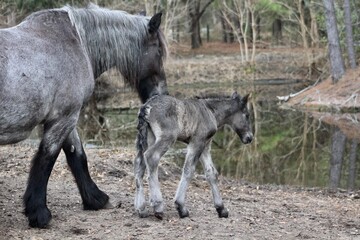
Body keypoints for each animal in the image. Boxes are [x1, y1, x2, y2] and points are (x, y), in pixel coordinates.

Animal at [0, 4, 169, 229]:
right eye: (158, 51)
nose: (161, 94)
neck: (76, 41)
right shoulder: (63, 118)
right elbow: (46, 159)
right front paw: (39, 213)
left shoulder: (68, 120)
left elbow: (77, 156)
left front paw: (95, 198)